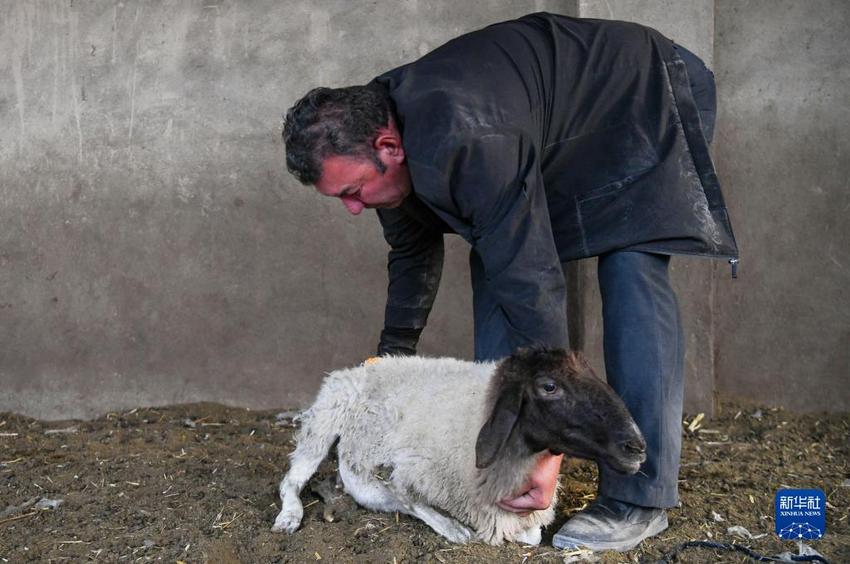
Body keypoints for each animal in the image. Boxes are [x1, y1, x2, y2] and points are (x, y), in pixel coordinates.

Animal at [272, 346, 644, 544]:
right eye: (549, 386)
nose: (637, 446)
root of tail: (368, 366)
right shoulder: (399, 472)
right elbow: (409, 500)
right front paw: (456, 531)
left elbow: (532, 536)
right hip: (325, 417)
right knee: (290, 481)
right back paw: (289, 517)